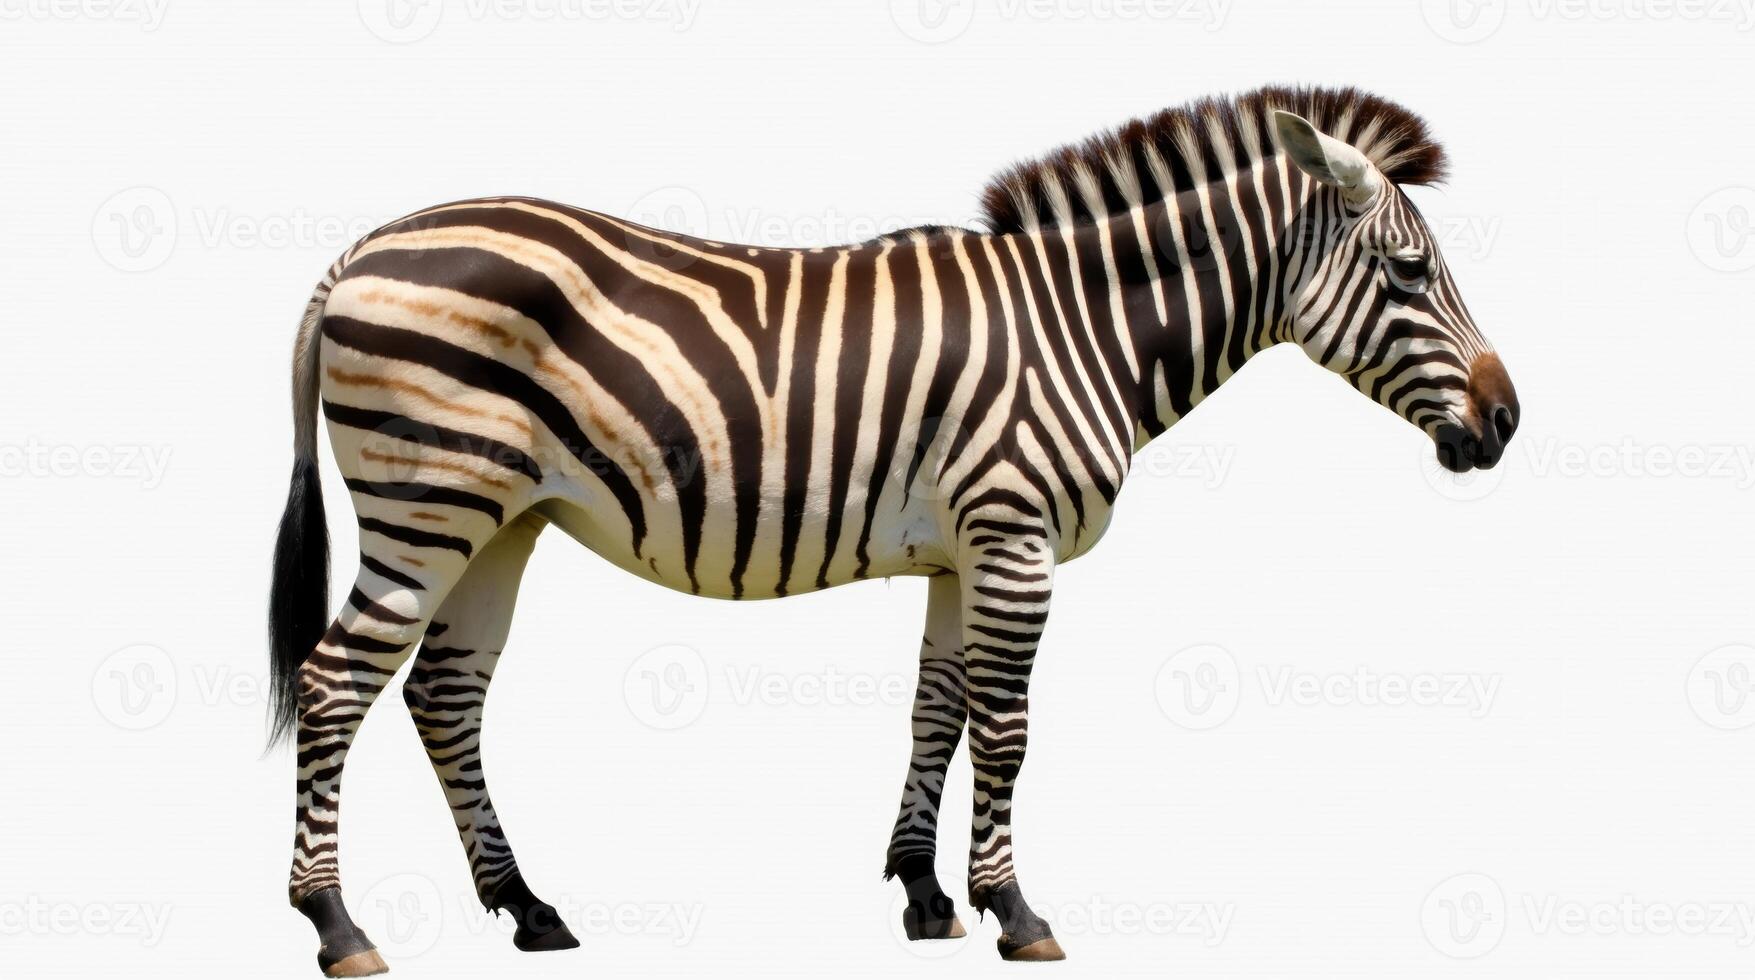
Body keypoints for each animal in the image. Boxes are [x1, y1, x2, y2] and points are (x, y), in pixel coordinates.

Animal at [269, 85, 1519, 976]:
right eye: (1411, 271)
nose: (1507, 422)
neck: (1084, 327)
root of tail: (358, 249)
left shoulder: (963, 549)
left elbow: (937, 709)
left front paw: (925, 894)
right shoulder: (1014, 536)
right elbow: (1007, 729)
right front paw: (1017, 909)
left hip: (502, 518)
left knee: (445, 693)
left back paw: (527, 906)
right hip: (428, 503)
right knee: (335, 683)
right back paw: (337, 924)